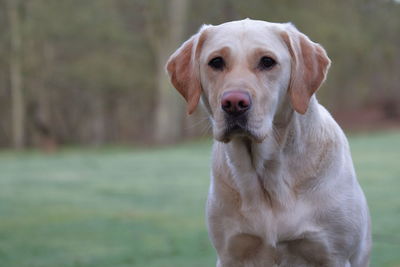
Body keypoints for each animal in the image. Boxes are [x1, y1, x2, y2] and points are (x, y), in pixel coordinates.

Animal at [166, 19, 372, 267]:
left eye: (267, 62)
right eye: (216, 62)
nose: (234, 102)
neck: (266, 175)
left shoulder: (333, 255)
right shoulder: (231, 253)